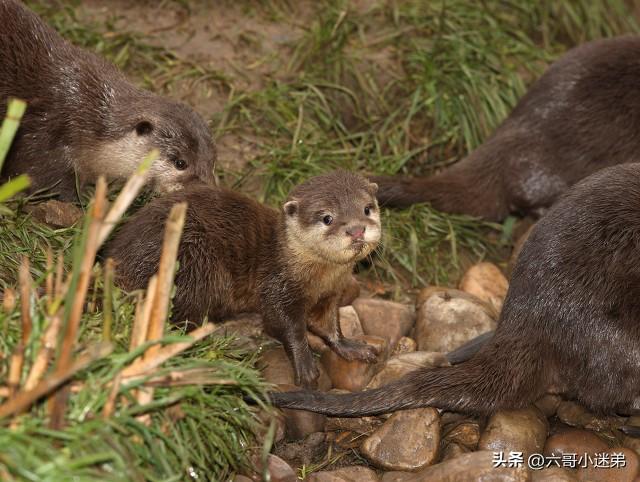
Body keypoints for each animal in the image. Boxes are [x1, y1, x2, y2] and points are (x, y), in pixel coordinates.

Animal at [107, 171, 382, 386]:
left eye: (367, 208)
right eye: (327, 218)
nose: (356, 229)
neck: (316, 278)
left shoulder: (329, 294)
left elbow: (327, 325)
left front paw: (351, 347)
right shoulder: (277, 287)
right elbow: (285, 325)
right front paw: (304, 363)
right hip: (195, 262)